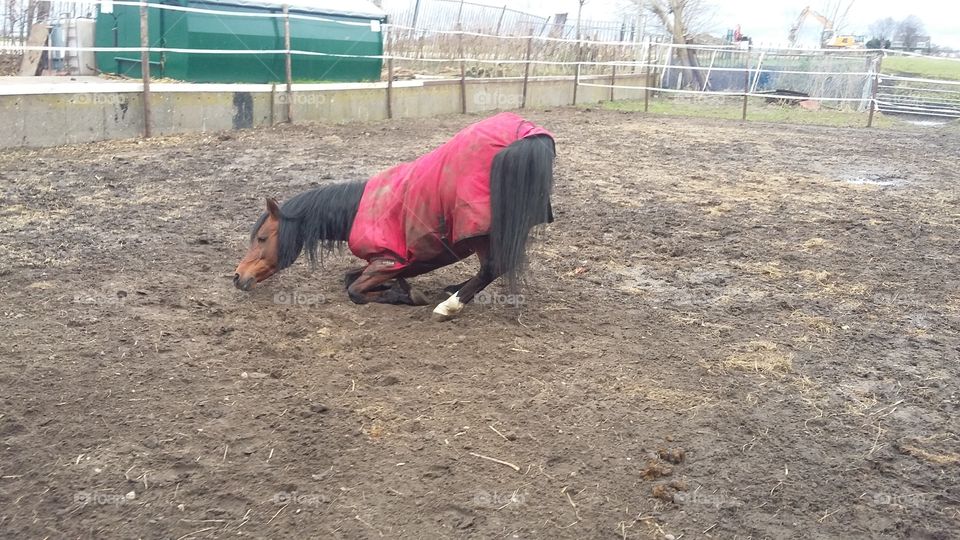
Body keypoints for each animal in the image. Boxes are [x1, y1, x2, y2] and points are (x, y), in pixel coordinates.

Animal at [233, 112, 555, 320]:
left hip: (478, 231)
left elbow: (354, 290)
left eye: (261, 238)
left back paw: (449, 306)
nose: (237, 277)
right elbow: (348, 277)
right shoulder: (392, 264)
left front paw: (403, 295)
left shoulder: (387, 260)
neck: (358, 211)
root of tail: (526, 134)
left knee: (494, 266)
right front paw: (397, 288)